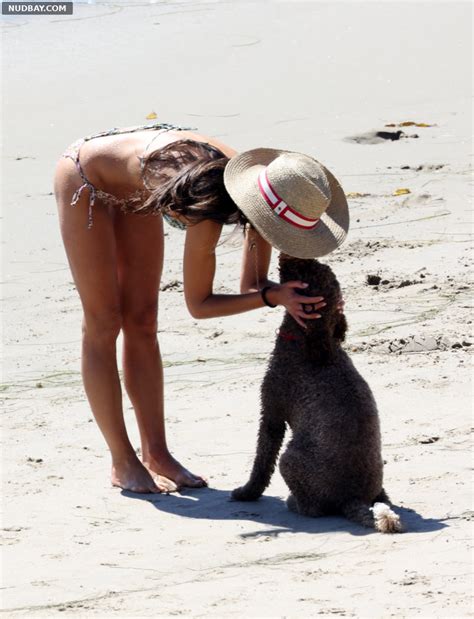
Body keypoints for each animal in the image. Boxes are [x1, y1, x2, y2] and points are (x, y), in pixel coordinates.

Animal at [231, 254, 402, 536]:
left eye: (306, 273)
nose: (287, 254)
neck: (311, 342)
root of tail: (352, 497)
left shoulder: (272, 412)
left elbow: (262, 462)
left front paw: (246, 493)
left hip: (289, 459)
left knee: (313, 509)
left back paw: (293, 503)